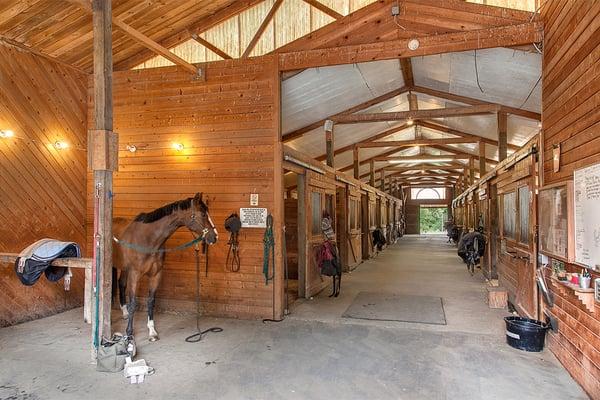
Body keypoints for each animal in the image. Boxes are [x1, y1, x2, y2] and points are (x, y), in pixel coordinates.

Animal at [112, 193, 218, 340]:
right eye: (202, 214)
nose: (214, 237)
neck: (147, 240)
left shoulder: (156, 274)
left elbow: (151, 301)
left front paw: (152, 331)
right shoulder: (134, 274)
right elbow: (133, 302)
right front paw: (129, 334)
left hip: (124, 269)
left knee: (121, 284)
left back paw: (125, 313)